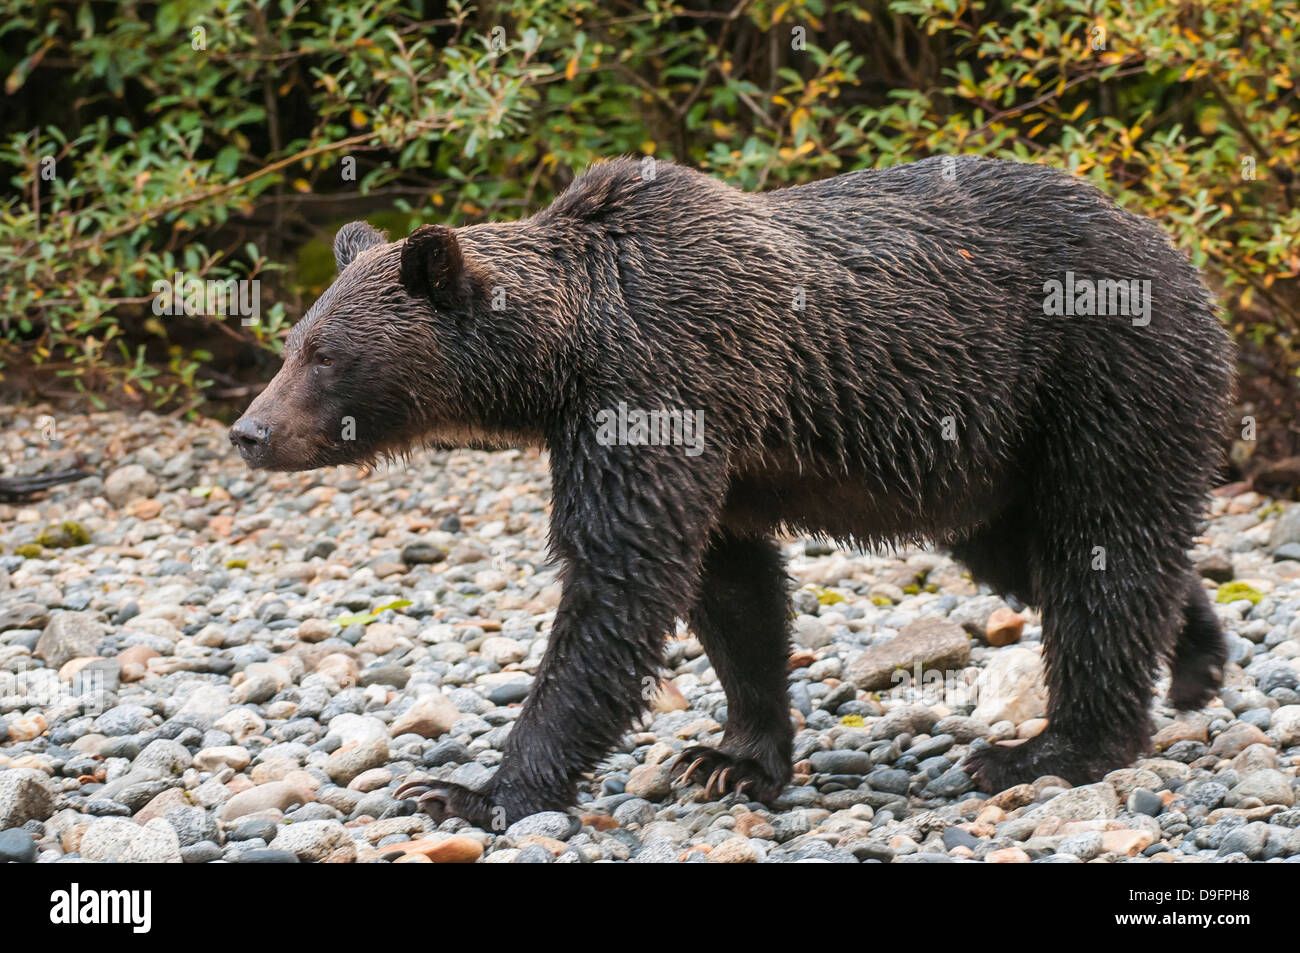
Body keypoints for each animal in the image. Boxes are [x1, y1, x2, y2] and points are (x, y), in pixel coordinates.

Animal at [233, 156, 1237, 826]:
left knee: (1101, 547)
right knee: (1052, 556)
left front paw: (468, 790)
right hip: (991, 459)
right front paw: (730, 758)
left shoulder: (662, 384)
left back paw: (1051, 748)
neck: (566, 359)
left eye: (326, 355)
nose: (249, 430)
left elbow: (618, 583)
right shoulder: (720, 446)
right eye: (289, 343)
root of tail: (1178, 249)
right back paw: (1197, 656)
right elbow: (730, 590)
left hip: (1097, 377)